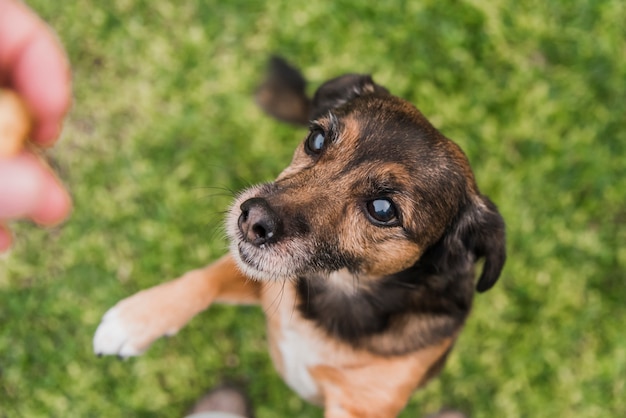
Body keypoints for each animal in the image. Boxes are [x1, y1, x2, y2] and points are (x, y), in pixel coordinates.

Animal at [96, 58, 508, 418]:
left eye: (382, 209)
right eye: (317, 139)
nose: (251, 218)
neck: (337, 292)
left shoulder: (360, 408)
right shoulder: (261, 276)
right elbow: (204, 278)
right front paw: (135, 319)